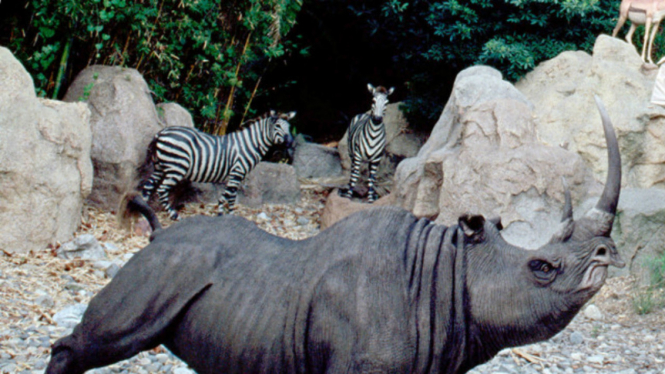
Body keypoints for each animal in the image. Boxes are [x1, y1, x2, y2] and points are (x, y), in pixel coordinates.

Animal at [141, 109, 296, 219]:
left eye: (289, 127)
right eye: (277, 126)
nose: (291, 143)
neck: (248, 144)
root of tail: (160, 134)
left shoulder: (235, 175)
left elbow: (228, 195)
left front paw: (224, 213)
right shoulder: (237, 172)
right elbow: (229, 195)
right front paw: (226, 214)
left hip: (160, 168)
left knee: (147, 188)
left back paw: (144, 214)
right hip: (176, 168)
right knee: (161, 190)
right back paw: (173, 215)